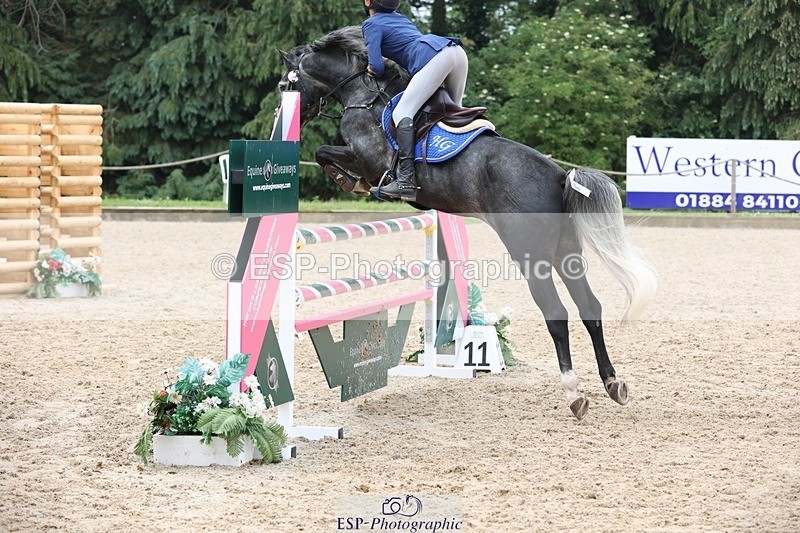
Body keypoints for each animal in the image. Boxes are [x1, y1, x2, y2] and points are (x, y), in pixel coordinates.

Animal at [277, 26, 657, 420]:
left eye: (286, 84)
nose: (286, 115)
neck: (363, 93)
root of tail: (559, 176)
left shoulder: (364, 157)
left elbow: (324, 152)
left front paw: (350, 182)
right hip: (567, 254)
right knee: (590, 309)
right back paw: (612, 383)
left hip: (531, 257)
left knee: (557, 314)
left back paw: (573, 393)